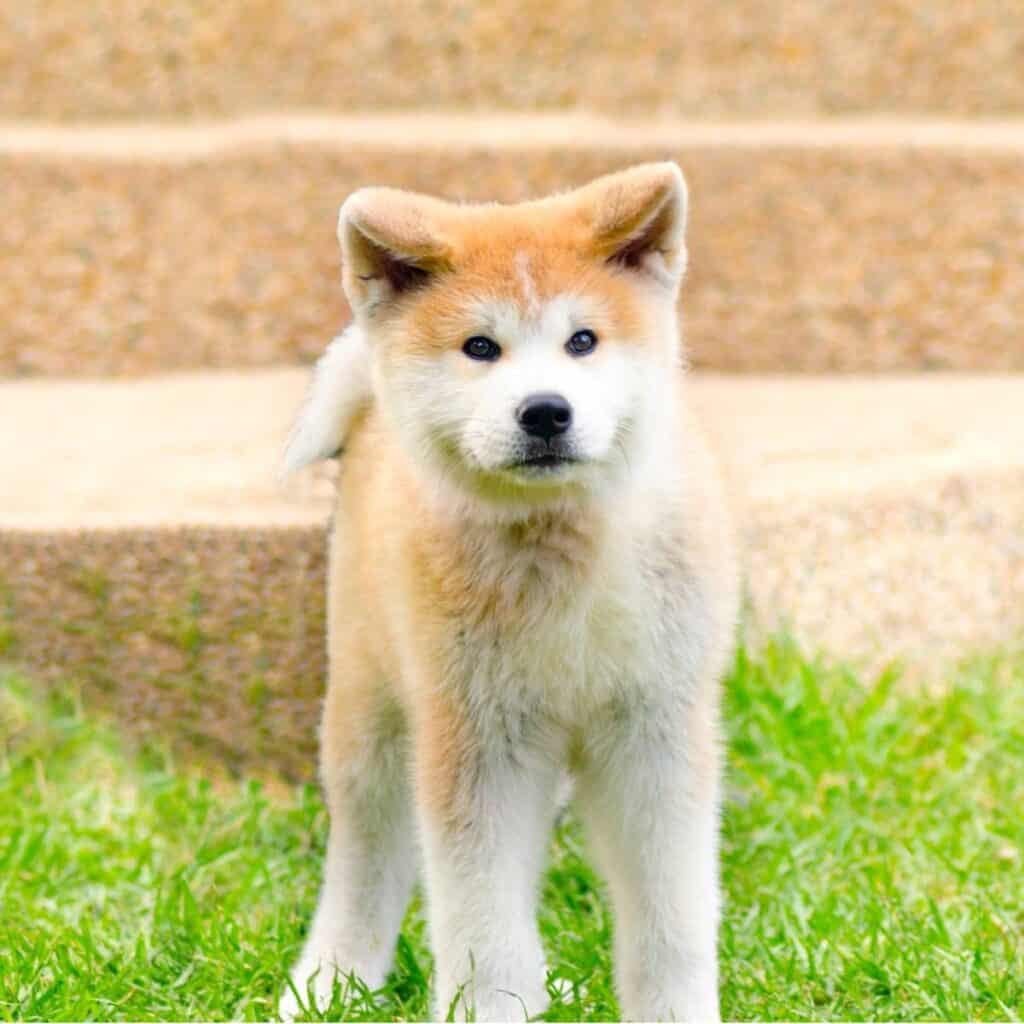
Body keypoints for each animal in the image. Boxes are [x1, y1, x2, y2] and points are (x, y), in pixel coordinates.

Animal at [280, 163, 737, 1019]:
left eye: (582, 340)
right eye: (480, 348)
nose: (546, 411)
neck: (563, 554)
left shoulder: (655, 734)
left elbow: (672, 926)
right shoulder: (477, 744)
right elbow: (482, 928)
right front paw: (493, 1006)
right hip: (372, 718)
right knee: (367, 860)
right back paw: (329, 982)